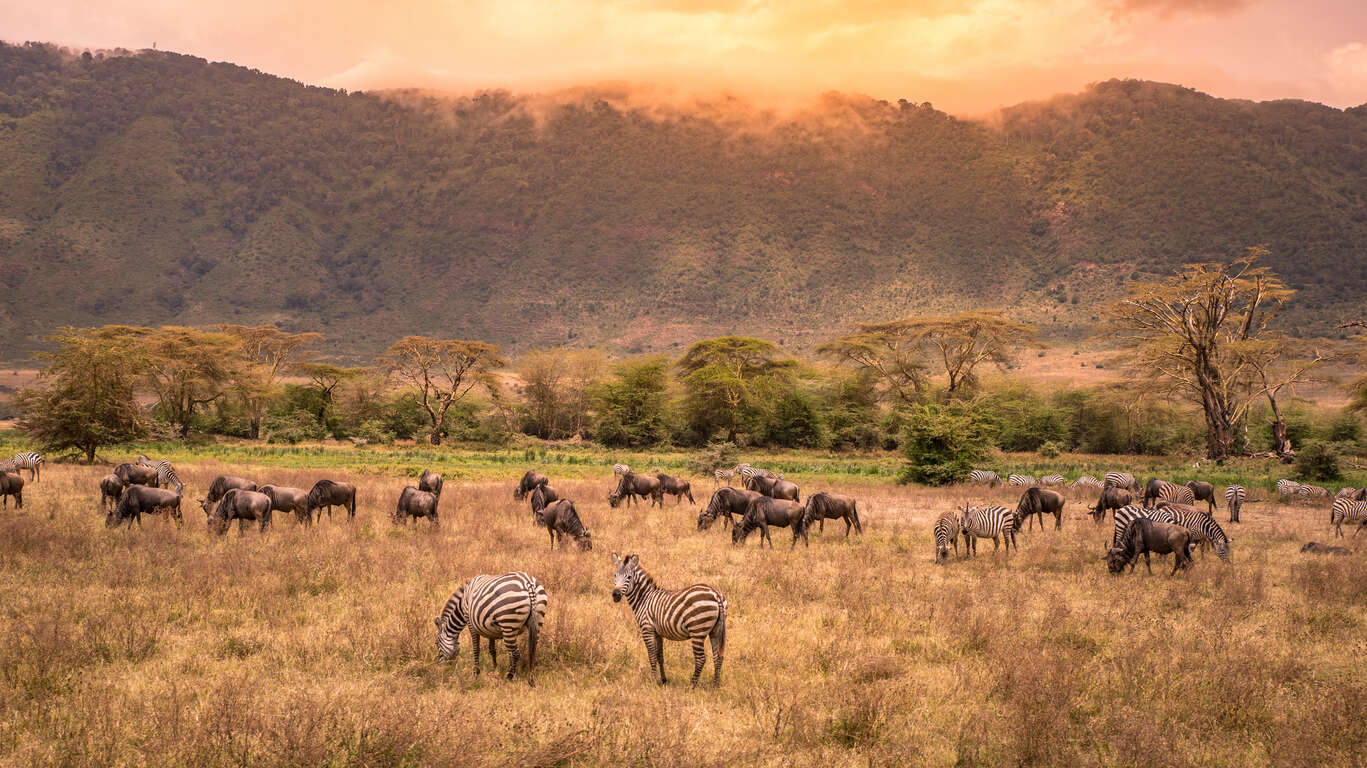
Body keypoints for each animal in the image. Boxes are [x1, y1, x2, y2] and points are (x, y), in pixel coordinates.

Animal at [615, 549, 732, 688]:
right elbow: (660, 656)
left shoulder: (647, 629)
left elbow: (651, 656)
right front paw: (663, 680)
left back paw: (691, 685)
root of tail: (716, 594)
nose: (615, 595)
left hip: (697, 630)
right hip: (715, 630)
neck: (644, 599)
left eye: (629, 577)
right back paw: (715, 685)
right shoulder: (658, 632)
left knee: (701, 659)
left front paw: (654, 681)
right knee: (718, 656)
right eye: (615, 576)